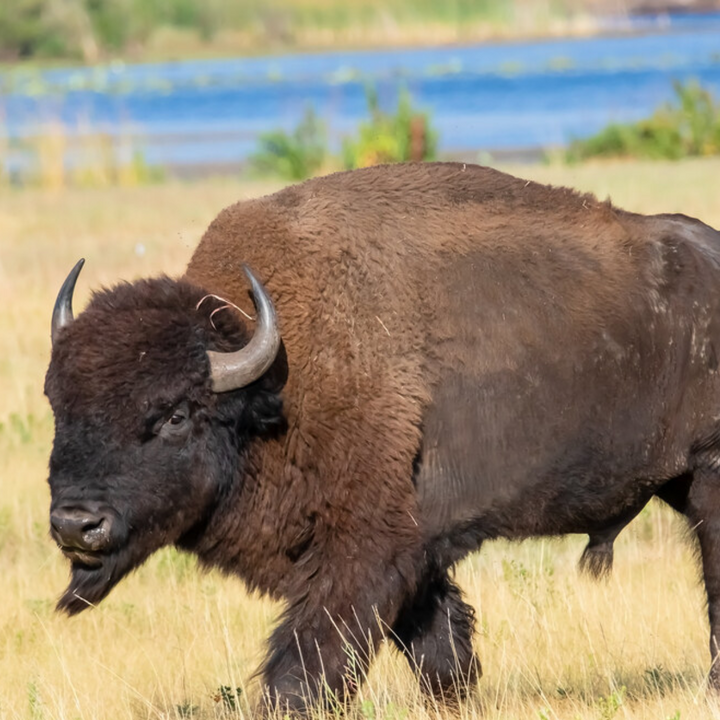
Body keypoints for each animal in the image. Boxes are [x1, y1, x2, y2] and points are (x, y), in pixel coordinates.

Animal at [45, 161, 720, 714]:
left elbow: (306, 669)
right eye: (57, 402)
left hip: (708, 474)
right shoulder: (414, 549)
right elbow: (440, 647)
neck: (272, 386)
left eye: (176, 415)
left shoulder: (362, 552)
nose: (77, 524)